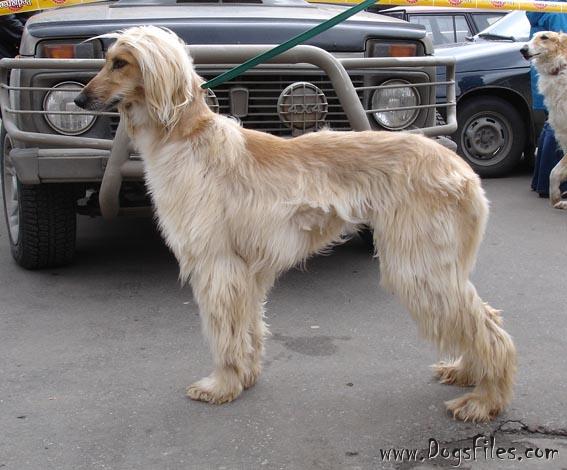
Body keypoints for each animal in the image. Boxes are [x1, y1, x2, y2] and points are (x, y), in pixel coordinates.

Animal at [76, 25, 520, 422]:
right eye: (105, 59)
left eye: (120, 63)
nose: (79, 99)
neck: (185, 138)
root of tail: (460, 167)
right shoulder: (246, 271)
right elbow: (247, 328)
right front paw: (246, 376)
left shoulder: (216, 263)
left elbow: (224, 333)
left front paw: (222, 384)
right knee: (485, 316)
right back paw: (467, 372)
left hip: (417, 264)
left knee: (487, 328)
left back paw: (485, 400)